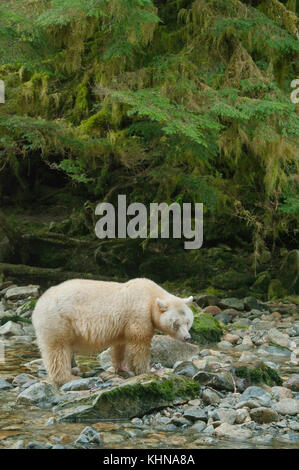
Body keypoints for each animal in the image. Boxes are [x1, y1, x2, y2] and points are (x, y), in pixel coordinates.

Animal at [31, 278, 193, 384]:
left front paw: (122, 367)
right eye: (176, 324)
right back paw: (67, 377)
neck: (151, 295)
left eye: (188, 321)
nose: (187, 337)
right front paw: (146, 370)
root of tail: (39, 303)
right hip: (58, 319)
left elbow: (120, 345)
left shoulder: (123, 324)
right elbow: (139, 343)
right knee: (57, 349)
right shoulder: (139, 314)